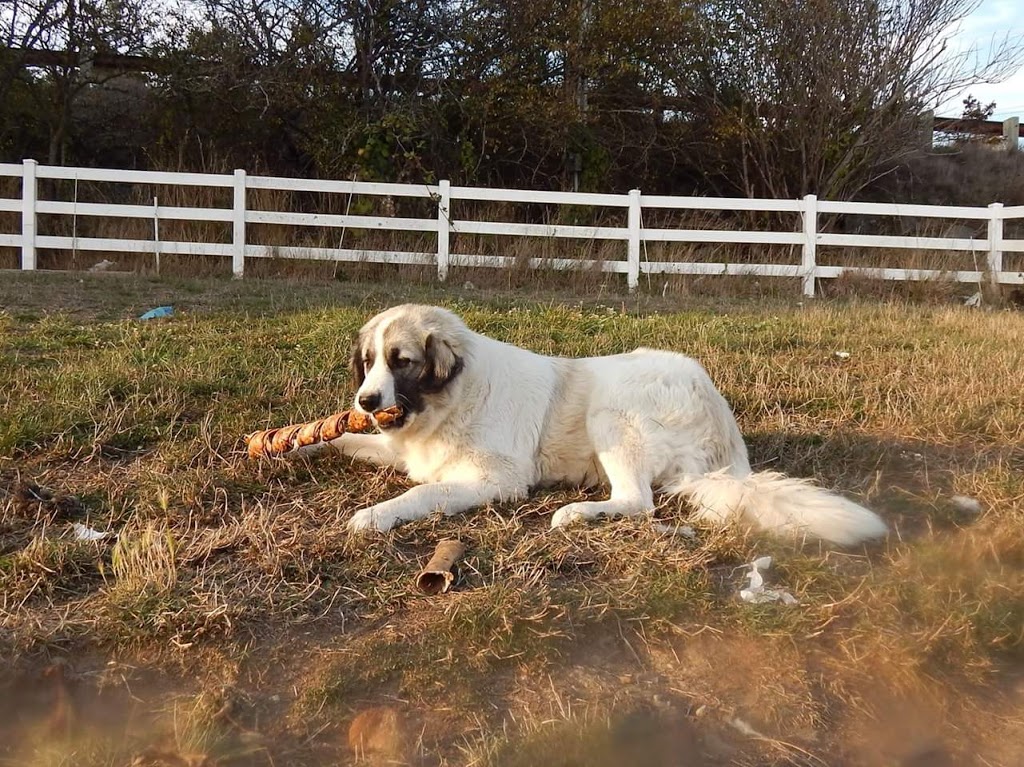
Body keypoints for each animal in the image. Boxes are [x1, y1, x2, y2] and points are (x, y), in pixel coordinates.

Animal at [323, 303, 884, 548]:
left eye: (402, 362)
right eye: (368, 362)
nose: (365, 400)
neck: (454, 398)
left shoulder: (495, 480)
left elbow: (420, 494)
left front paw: (374, 515)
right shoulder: (399, 448)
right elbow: (345, 439)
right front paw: (305, 444)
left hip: (612, 411)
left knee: (638, 503)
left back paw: (576, 513)